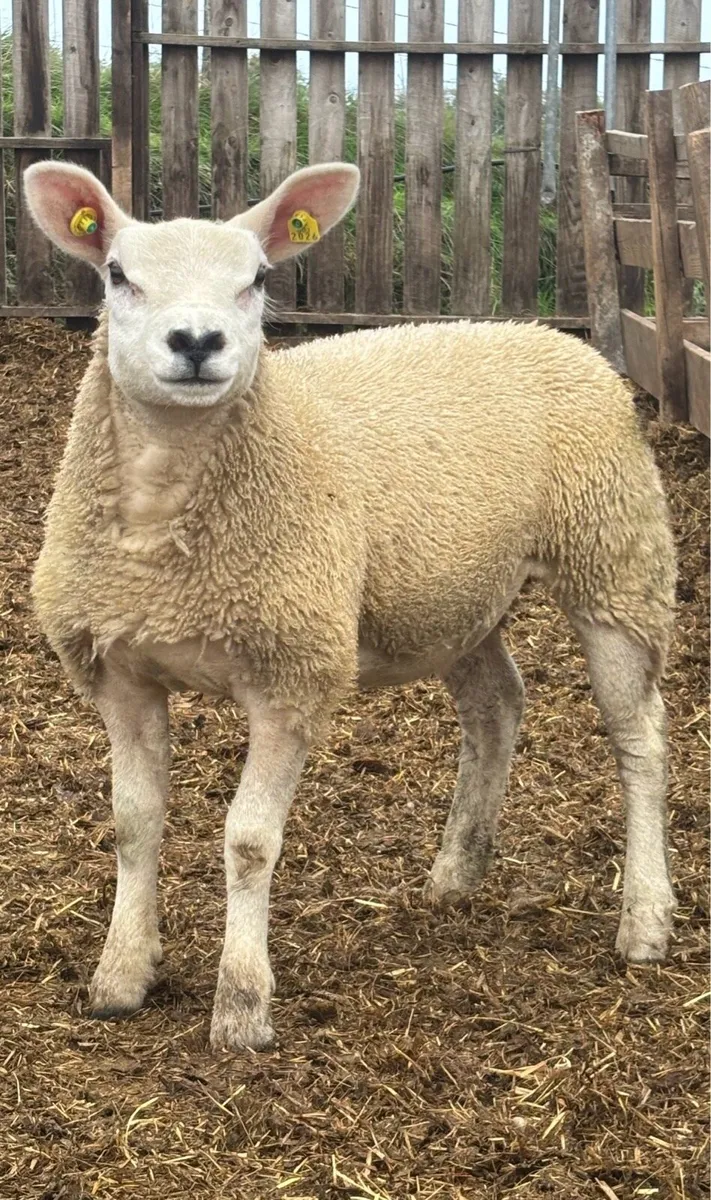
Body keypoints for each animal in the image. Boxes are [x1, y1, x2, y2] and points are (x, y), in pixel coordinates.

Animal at [24, 159, 677, 1052]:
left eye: (258, 279)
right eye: (118, 274)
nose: (196, 344)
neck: (165, 537)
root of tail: (546, 332)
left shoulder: (291, 672)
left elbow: (249, 841)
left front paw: (242, 1005)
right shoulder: (118, 669)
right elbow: (132, 821)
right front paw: (121, 974)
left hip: (612, 557)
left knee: (638, 740)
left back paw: (644, 919)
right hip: (451, 592)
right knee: (497, 704)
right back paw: (456, 869)